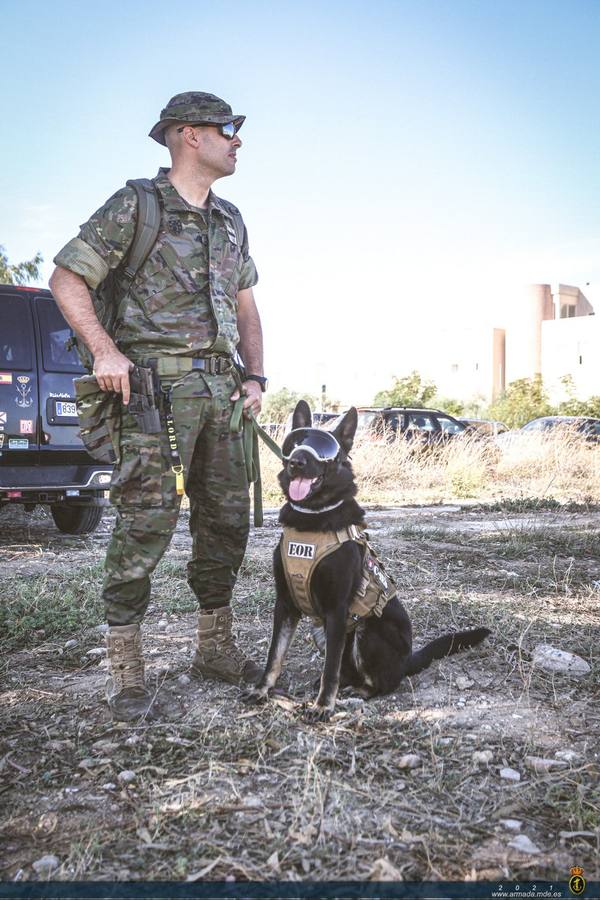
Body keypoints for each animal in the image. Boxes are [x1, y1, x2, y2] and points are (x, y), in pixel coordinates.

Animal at [245, 404, 492, 720]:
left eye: (324, 449)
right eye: (294, 442)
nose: (296, 462)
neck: (313, 517)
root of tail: (407, 660)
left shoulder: (337, 610)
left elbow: (330, 669)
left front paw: (323, 705)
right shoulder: (286, 604)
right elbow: (274, 655)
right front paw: (261, 690)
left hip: (368, 631)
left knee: (384, 682)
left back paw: (361, 691)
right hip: (322, 629)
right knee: (346, 670)